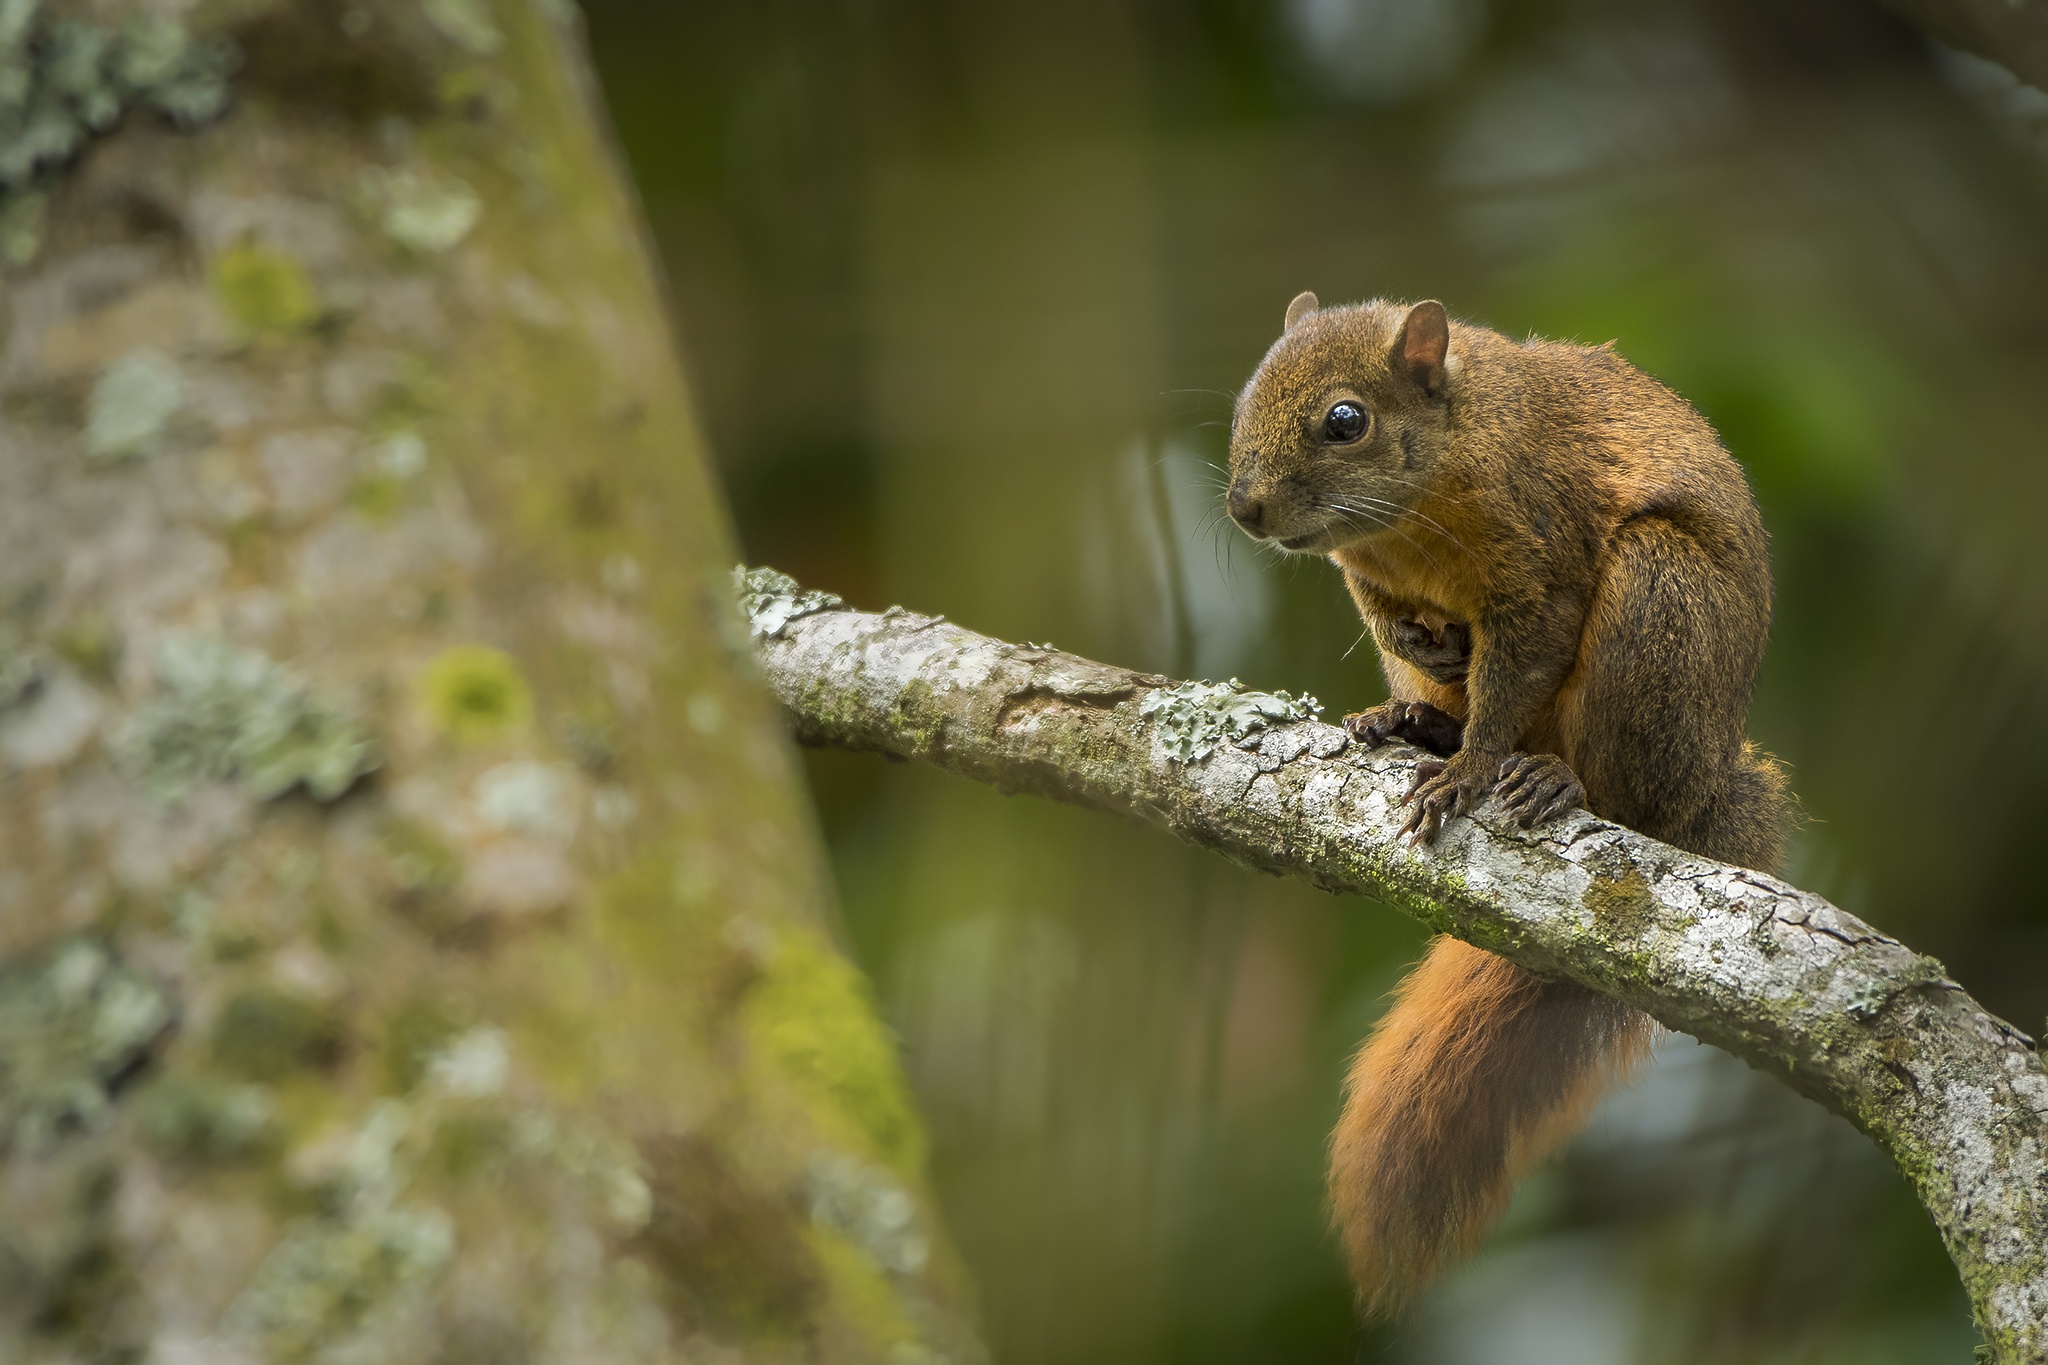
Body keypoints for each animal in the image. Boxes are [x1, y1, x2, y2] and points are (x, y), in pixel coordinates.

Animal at [1225, 292, 1792, 1313]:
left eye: (1345, 420)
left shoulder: (1541, 549)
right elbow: (1393, 622)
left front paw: (1472, 765)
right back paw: (1412, 718)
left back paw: (1548, 777)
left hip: (1659, 609)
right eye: (1245, 396)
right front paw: (1427, 659)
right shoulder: (1367, 577)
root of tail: (1704, 796)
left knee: (1621, 788)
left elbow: (1523, 656)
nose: (1245, 507)